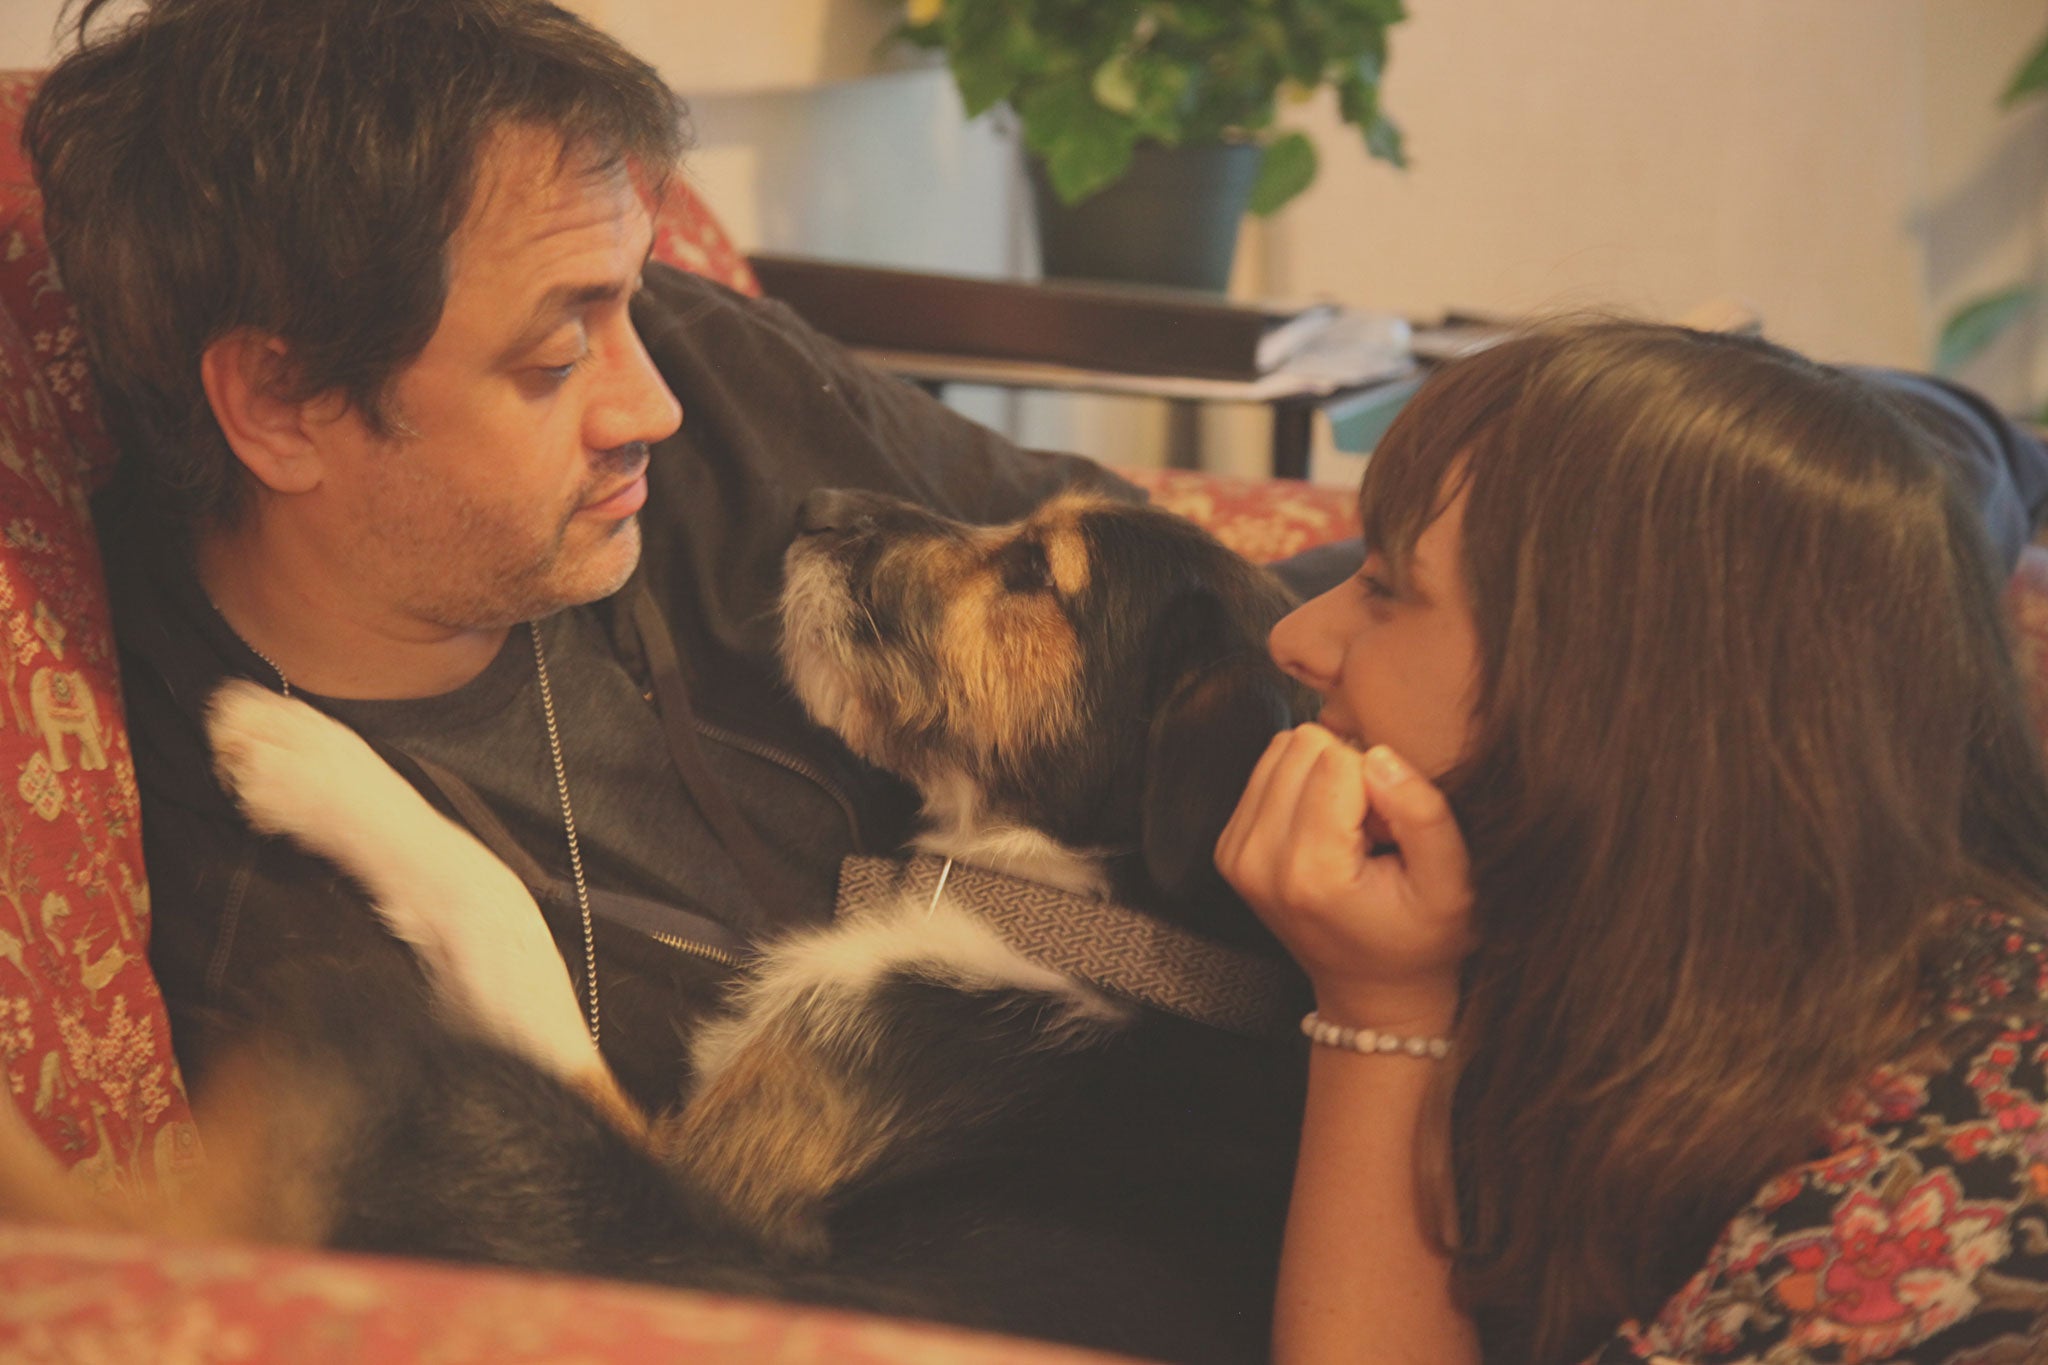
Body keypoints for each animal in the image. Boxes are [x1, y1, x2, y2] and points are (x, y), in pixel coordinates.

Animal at [24, 491, 1318, 1365]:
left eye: (1036, 573)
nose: (815, 507)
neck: (1082, 916)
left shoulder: (700, 1190)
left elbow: (499, 907)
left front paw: (306, 752)